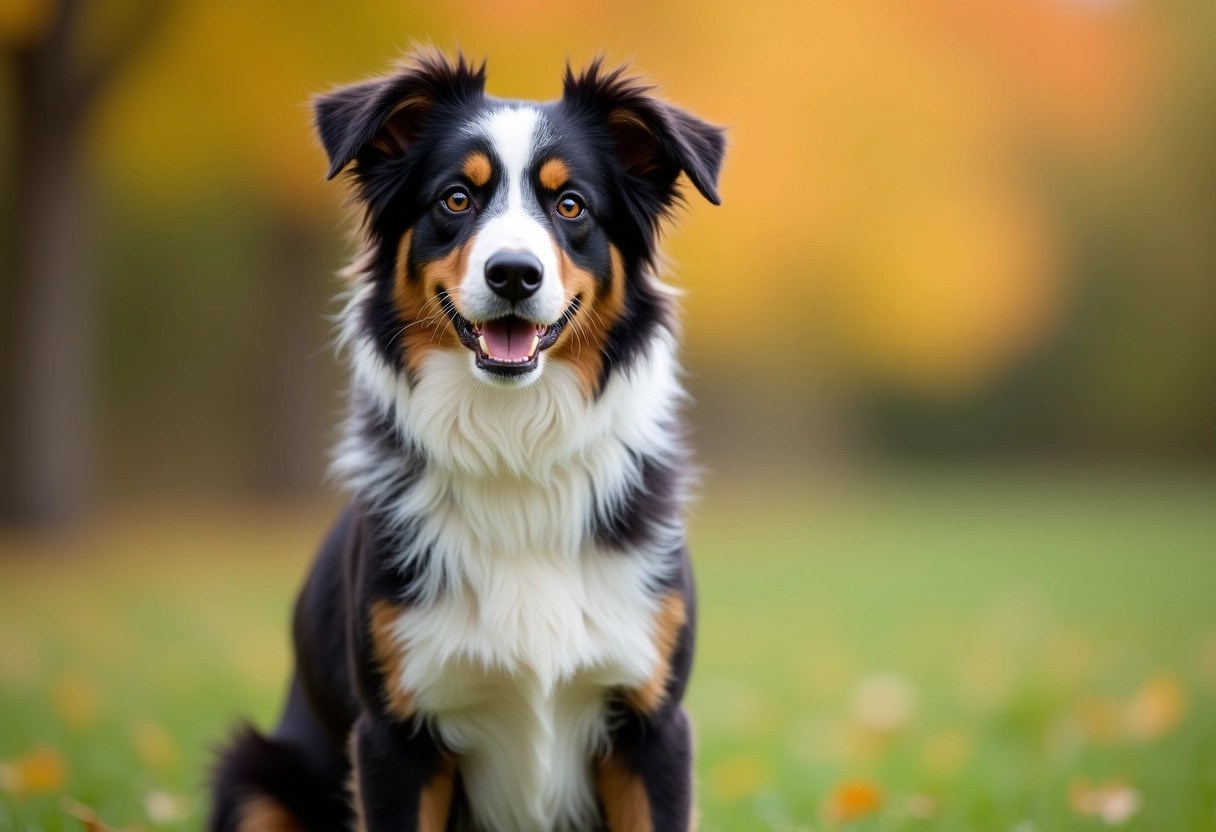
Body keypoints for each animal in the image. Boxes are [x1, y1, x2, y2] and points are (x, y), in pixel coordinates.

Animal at [207, 52, 719, 832]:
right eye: (455, 199)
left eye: (571, 205)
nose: (513, 273)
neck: (516, 453)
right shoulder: (394, 736)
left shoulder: (651, 725)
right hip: (255, 775)